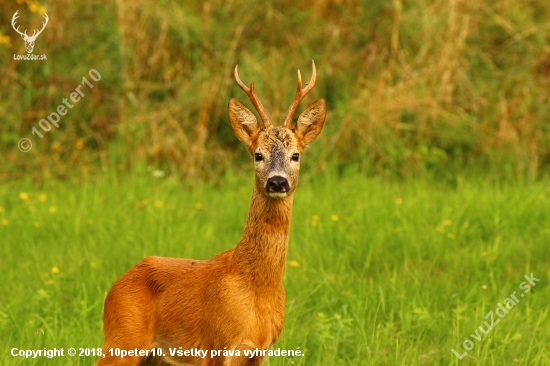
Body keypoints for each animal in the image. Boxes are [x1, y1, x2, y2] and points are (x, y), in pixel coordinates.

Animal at [97, 60, 328, 366]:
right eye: (258, 154)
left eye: (296, 155)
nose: (277, 182)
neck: (257, 288)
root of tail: (114, 287)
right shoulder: (219, 345)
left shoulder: (261, 351)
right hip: (120, 339)